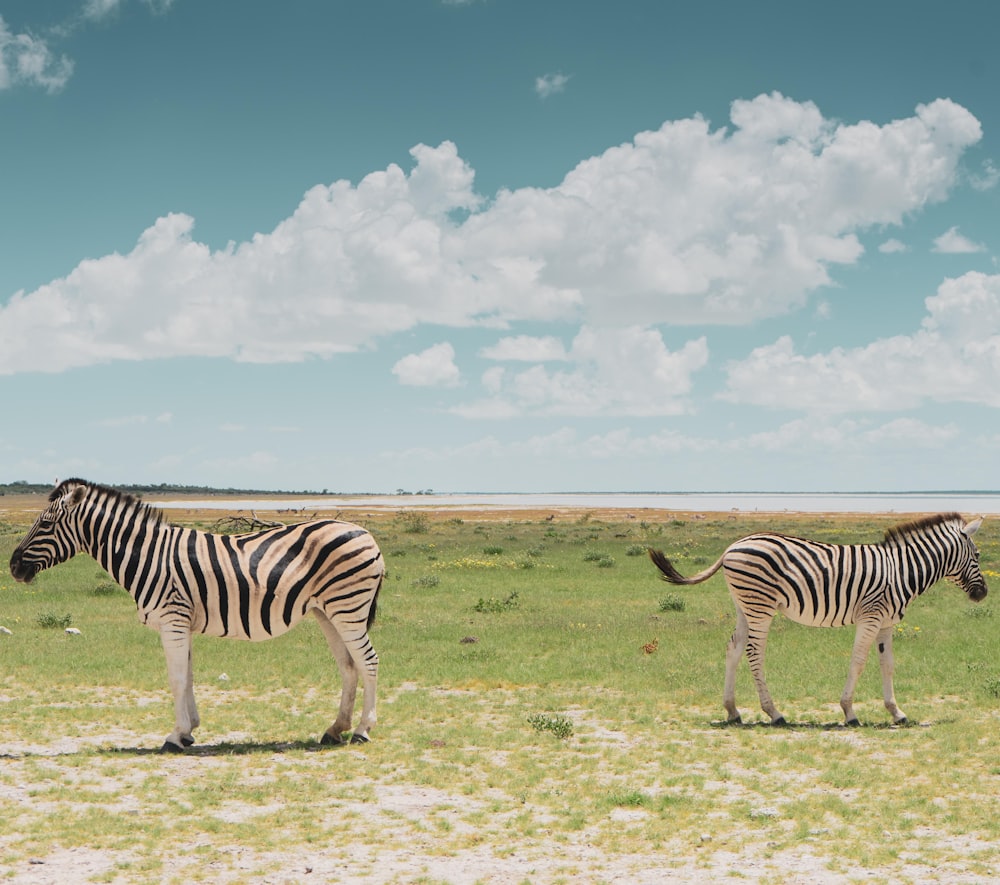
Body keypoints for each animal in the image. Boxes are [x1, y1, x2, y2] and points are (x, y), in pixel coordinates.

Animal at [9, 480, 384, 748]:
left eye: (45, 524)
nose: (13, 567)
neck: (147, 557)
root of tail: (367, 534)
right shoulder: (182, 622)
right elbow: (187, 676)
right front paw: (189, 731)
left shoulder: (172, 619)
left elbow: (175, 679)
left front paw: (175, 736)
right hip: (327, 611)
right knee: (348, 666)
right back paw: (335, 730)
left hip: (347, 606)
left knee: (368, 662)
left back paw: (362, 730)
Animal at [648, 512, 984, 724]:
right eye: (978, 556)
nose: (983, 594)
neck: (901, 570)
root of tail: (732, 546)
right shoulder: (871, 616)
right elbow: (858, 661)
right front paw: (849, 712)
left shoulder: (887, 622)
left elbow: (887, 664)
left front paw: (897, 712)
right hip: (760, 604)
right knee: (754, 652)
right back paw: (774, 713)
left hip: (744, 605)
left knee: (734, 648)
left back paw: (732, 711)